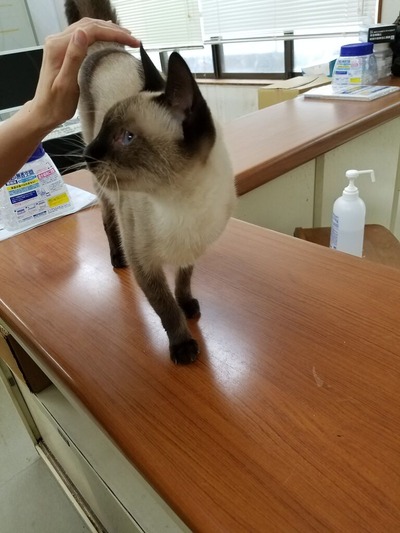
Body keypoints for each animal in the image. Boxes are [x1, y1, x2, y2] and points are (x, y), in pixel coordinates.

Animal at [64, 0, 237, 364]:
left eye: (126, 137)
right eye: (106, 132)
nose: (88, 155)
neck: (181, 201)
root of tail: (108, 49)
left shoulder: (191, 253)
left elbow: (183, 284)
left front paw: (189, 307)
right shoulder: (144, 266)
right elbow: (165, 309)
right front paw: (183, 346)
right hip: (107, 191)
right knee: (107, 220)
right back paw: (115, 260)